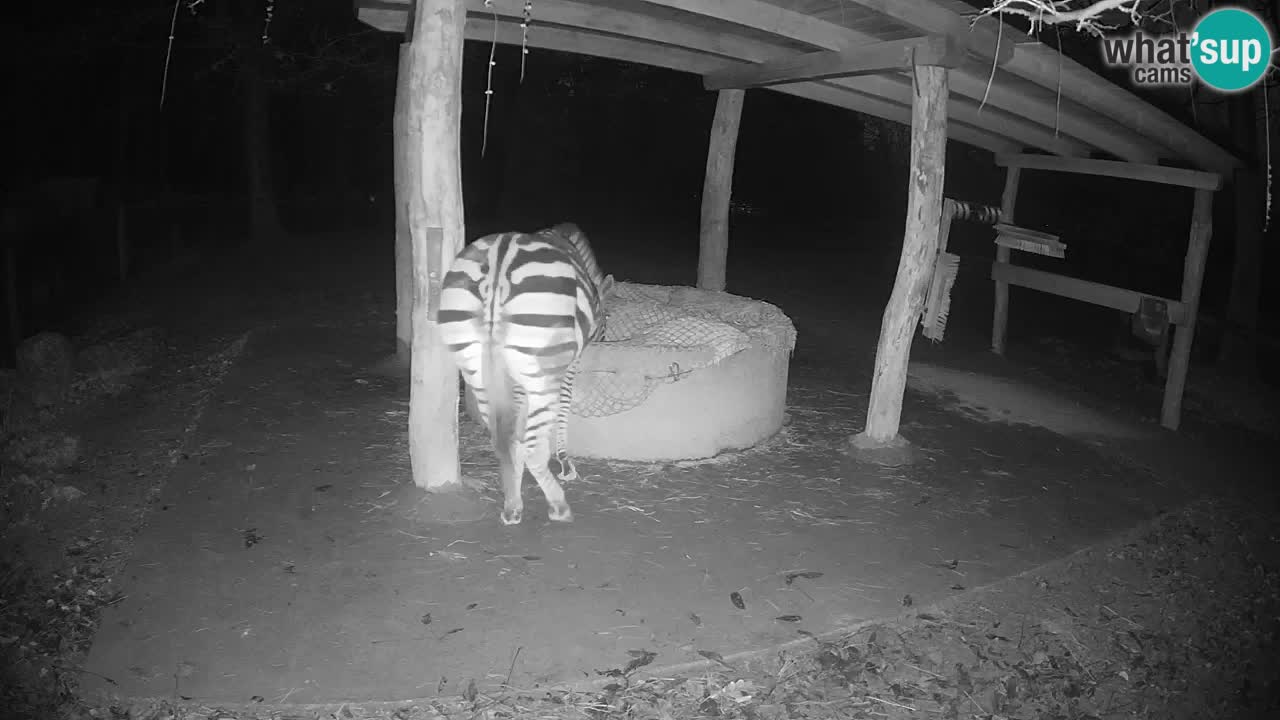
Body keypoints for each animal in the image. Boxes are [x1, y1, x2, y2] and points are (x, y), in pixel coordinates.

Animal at [438, 223, 613, 525]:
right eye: (606, 321)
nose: (602, 341)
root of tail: (498, 259)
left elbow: (515, 430)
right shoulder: (568, 364)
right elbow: (563, 405)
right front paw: (565, 462)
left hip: (476, 370)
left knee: (501, 442)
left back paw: (512, 504)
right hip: (541, 366)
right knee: (533, 450)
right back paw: (558, 506)